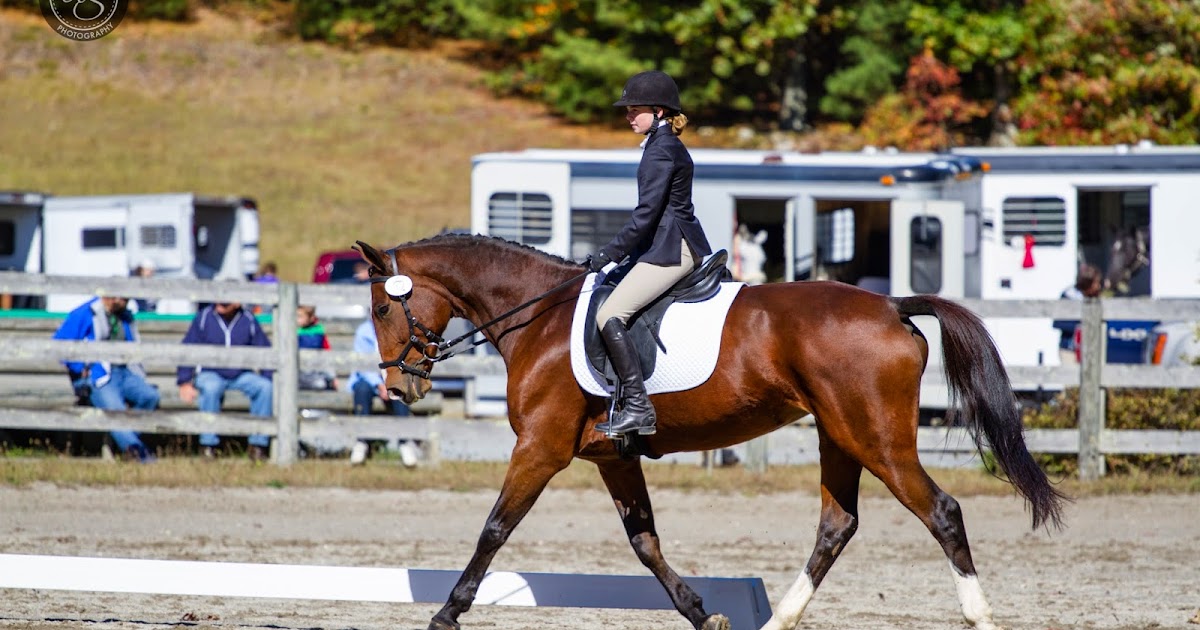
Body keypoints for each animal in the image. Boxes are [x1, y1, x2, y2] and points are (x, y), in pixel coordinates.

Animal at [355, 234, 1066, 630]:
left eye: (384, 306)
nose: (399, 389)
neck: (541, 318)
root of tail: (891, 305)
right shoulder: (613, 456)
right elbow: (644, 542)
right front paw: (704, 614)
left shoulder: (540, 448)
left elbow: (495, 529)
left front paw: (447, 612)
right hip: (839, 436)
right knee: (836, 526)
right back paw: (778, 622)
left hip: (878, 440)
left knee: (942, 512)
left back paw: (980, 617)